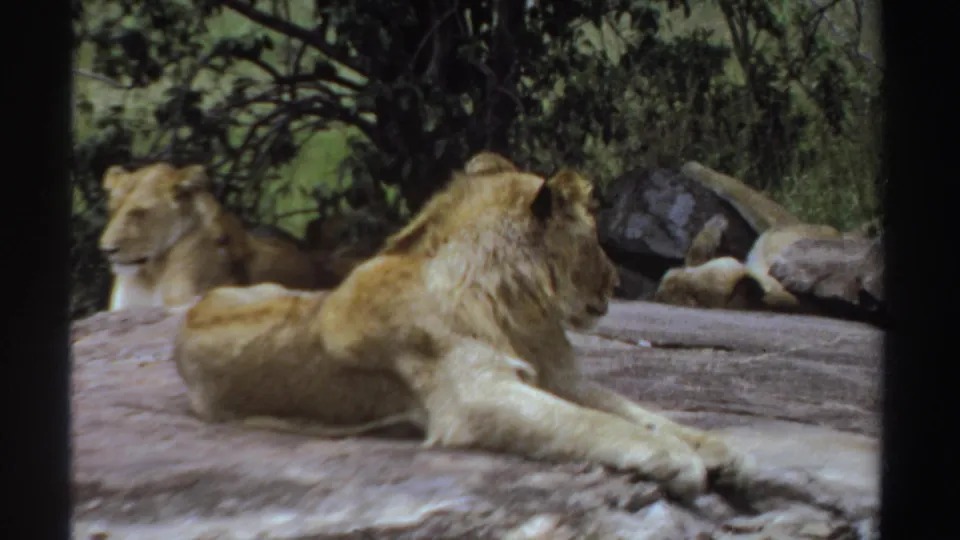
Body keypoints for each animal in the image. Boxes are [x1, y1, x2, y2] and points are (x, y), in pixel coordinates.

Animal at [172, 152, 750, 502]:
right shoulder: (475, 396)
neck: (516, 306)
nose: (616, 281)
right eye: (594, 240)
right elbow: (593, 424)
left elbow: (633, 410)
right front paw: (677, 460)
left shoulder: (558, 377)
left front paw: (711, 445)